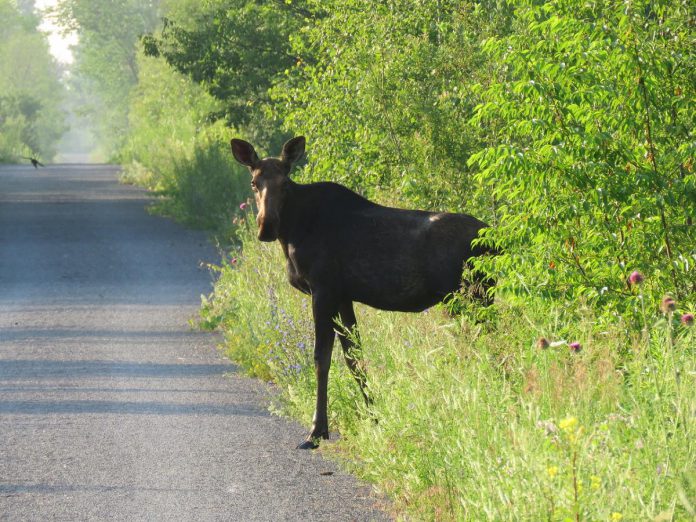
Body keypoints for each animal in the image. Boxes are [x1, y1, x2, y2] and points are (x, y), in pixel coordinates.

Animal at [231, 135, 492, 446]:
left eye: (285, 182)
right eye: (254, 182)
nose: (266, 227)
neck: (292, 232)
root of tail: (498, 242)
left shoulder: (324, 290)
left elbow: (321, 358)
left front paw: (317, 430)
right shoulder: (343, 296)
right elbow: (354, 358)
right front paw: (374, 417)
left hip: (470, 298)